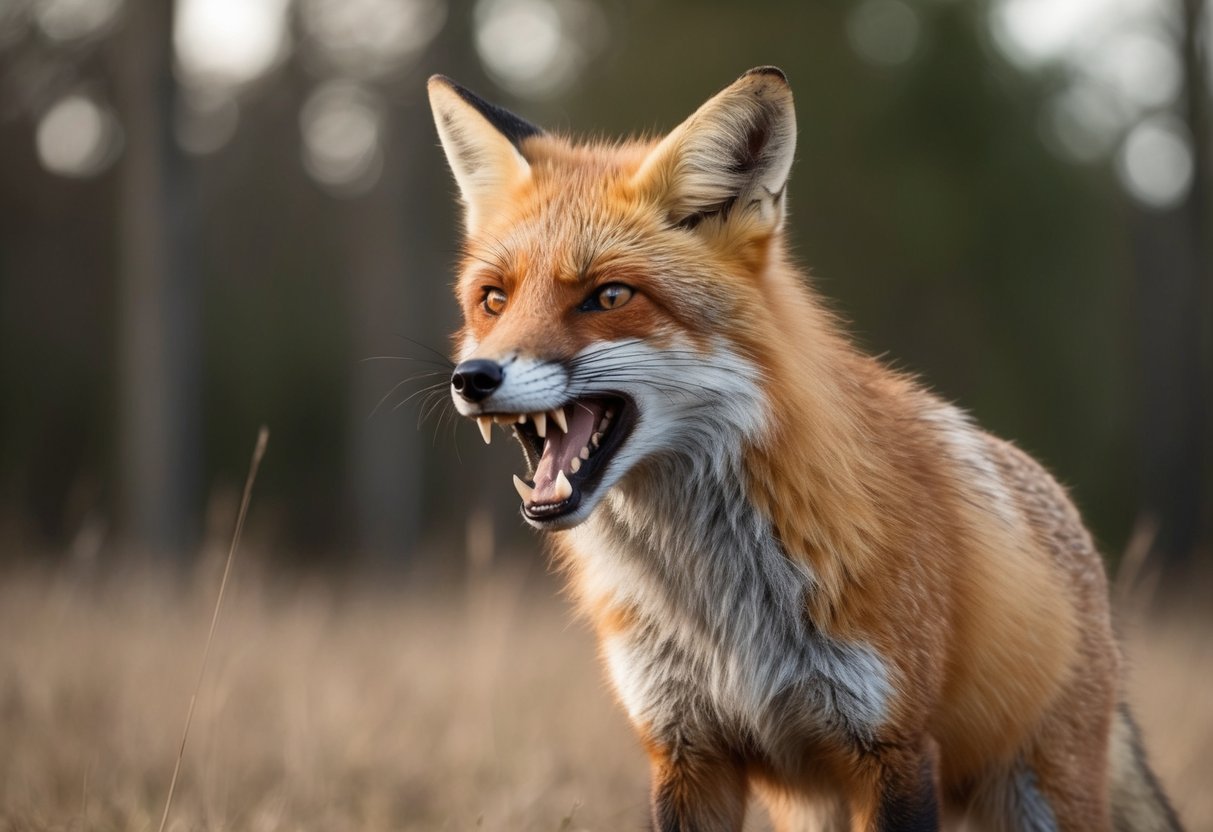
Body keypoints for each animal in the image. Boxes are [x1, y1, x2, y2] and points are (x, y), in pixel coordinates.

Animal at [426, 68, 1183, 831]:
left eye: (609, 296)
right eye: (493, 300)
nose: (472, 378)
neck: (718, 605)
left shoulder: (891, 746)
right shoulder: (686, 748)